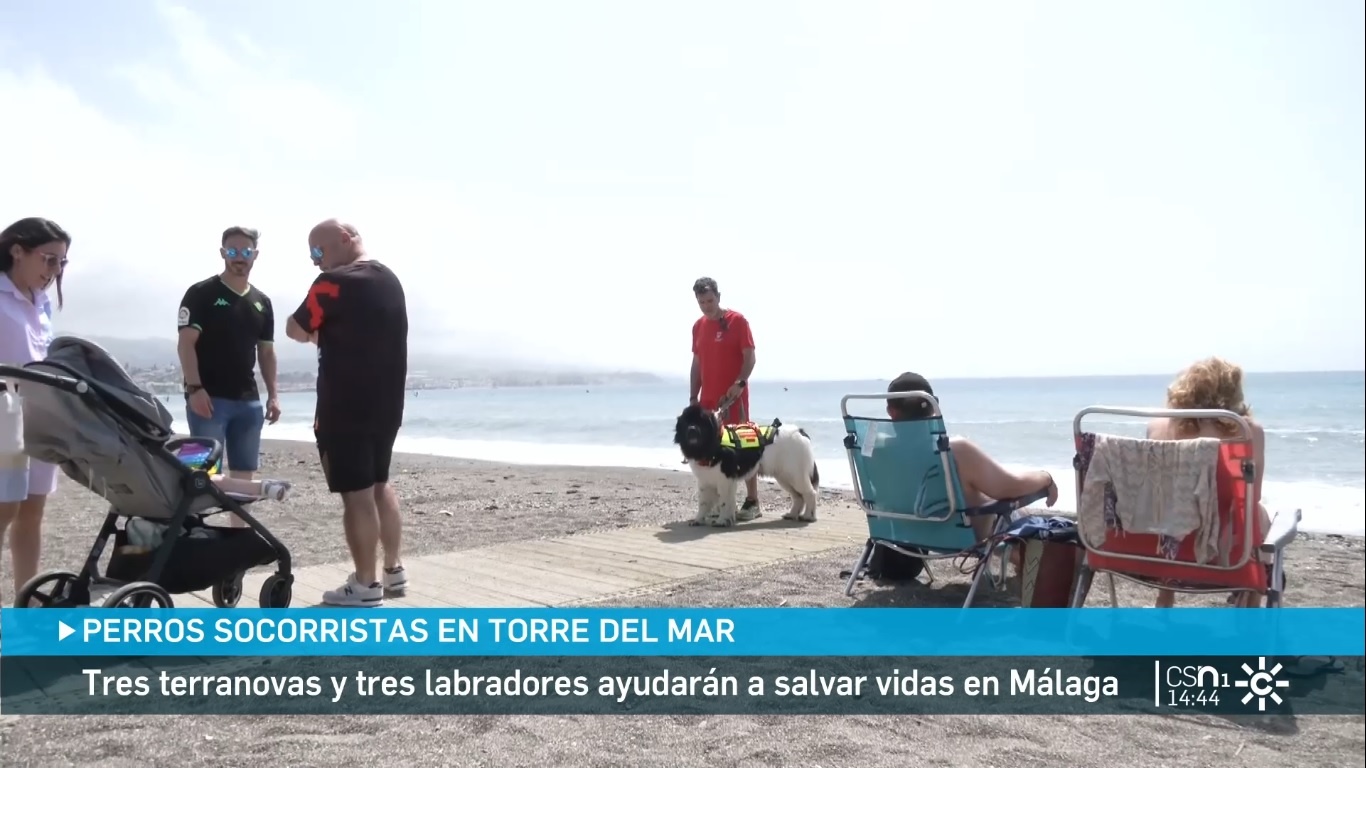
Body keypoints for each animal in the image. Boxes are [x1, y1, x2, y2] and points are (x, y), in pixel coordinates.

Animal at [674, 404, 819, 532]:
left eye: (701, 422)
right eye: (686, 422)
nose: (692, 429)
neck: (712, 444)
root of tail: (800, 432)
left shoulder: (725, 480)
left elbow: (724, 502)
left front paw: (722, 521)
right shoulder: (705, 481)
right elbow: (703, 503)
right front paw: (698, 520)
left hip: (795, 474)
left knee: (810, 493)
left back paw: (808, 516)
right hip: (784, 476)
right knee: (798, 496)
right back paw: (791, 514)